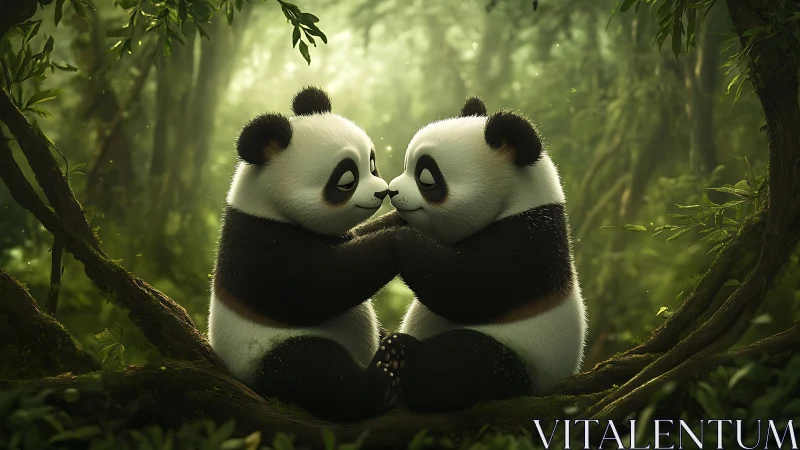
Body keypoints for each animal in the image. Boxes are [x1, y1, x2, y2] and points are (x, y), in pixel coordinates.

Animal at [207, 86, 407, 422]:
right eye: (346, 180)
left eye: (372, 163)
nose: (383, 192)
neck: (268, 206)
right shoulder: (258, 245)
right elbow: (313, 288)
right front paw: (397, 241)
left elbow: (354, 239)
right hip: (264, 352)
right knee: (316, 370)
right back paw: (383, 379)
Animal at [386, 97, 587, 413]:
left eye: (426, 178)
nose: (391, 191)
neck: (520, 199)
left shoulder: (526, 245)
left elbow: (467, 288)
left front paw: (398, 238)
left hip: (525, 357)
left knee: (462, 364)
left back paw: (404, 356)